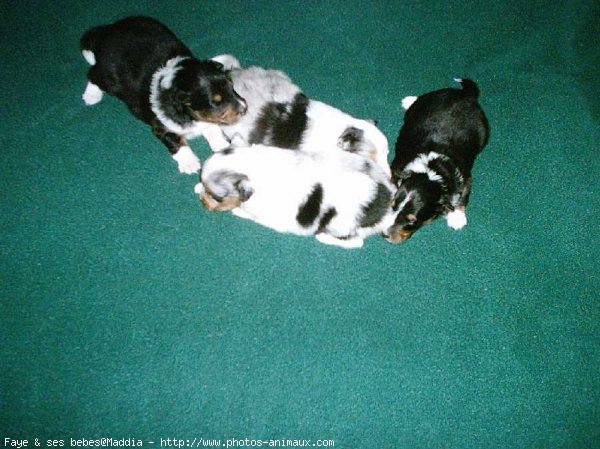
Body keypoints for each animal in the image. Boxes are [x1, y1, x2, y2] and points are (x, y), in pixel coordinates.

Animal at [81, 15, 247, 173]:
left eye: (232, 87)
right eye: (215, 103)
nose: (245, 109)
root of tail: (108, 30)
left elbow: (213, 128)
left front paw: (223, 147)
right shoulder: (160, 127)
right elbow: (176, 141)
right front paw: (190, 163)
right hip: (110, 79)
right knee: (93, 73)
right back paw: (91, 96)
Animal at [196, 126, 398, 248]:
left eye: (217, 198)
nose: (203, 202)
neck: (250, 165)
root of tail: (388, 197)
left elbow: (244, 211)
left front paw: (236, 210)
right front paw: (199, 186)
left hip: (340, 224)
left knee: (355, 242)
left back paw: (323, 237)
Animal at [386, 79, 490, 243]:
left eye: (412, 221)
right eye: (392, 205)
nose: (384, 234)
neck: (430, 171)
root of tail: (465, 94)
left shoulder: (465, 177)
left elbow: (462, 197)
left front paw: (457, 218)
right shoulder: (396, 168)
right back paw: (409, 100)